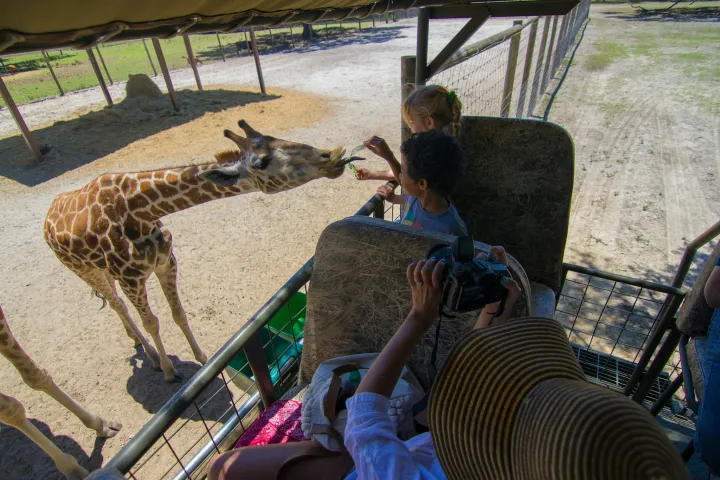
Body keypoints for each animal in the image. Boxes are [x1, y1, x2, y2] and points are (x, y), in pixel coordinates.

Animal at [44, 120, 359, 382]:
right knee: (116, 303)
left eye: (278, 137)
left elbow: (179, 313)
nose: (333, 155)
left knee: (116, 304)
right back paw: (150, 355)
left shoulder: (166, 262)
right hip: (86, 271)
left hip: (102, 271)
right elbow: (152, 321)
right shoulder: (131, 279)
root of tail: (49, 213)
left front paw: (202, 358)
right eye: (262, 161)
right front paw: (169, 371)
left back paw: (135, 341)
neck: (139, 211)